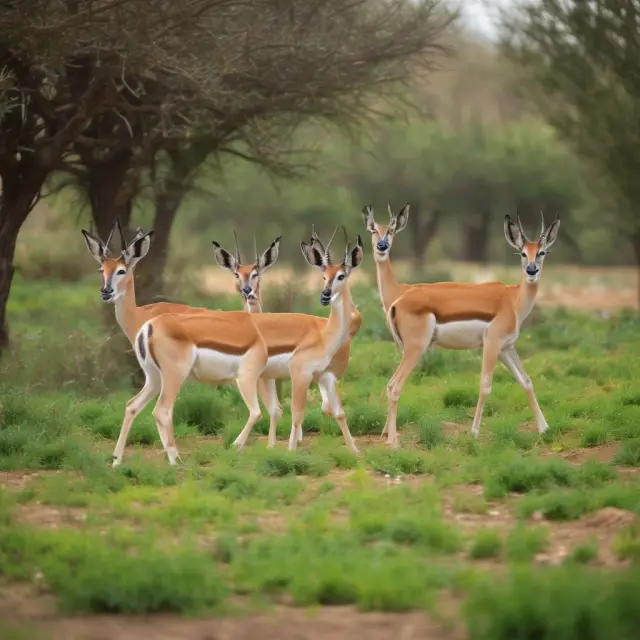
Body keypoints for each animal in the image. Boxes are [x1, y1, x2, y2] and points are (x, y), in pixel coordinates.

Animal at [212, 230, 363, 450]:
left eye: (341, 275)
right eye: (324, 276)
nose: (325, 295)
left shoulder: (309, 375)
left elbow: (293, 412)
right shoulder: (289, 375)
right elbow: (287, 412)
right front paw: (282, 448)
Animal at [364, 207, 560, 445]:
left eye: (542, 252)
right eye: (523, 253)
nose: (532, 271)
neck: (513, 299)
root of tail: (398, 302)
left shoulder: (506, 348)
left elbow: (527, 381)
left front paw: (544, 428)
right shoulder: (492, 344)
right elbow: (485, 386)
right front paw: (474, 432)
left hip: (405, 349)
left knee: (391, 385)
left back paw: (387, 434)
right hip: (415, 349)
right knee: (394, 385)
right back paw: (392, 441)